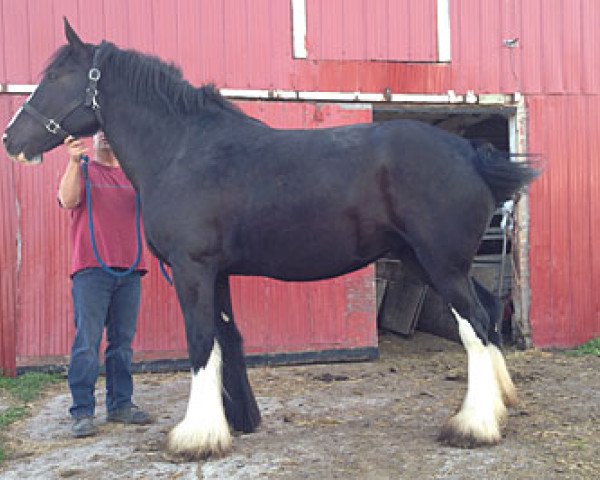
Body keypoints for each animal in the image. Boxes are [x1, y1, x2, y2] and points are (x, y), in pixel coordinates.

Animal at [3, 20, 540, 460]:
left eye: (57, 77)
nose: (11, 139)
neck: (183, 150)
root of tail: (471, 155)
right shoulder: (215, 273)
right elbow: (227, 338)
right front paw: (236, 423)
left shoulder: (193, 270)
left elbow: (200, 341)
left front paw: (194, 437)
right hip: (428, 263)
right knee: (489, 312)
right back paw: (502, 406)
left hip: (441, 265)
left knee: (475, 326)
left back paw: (474, 426)